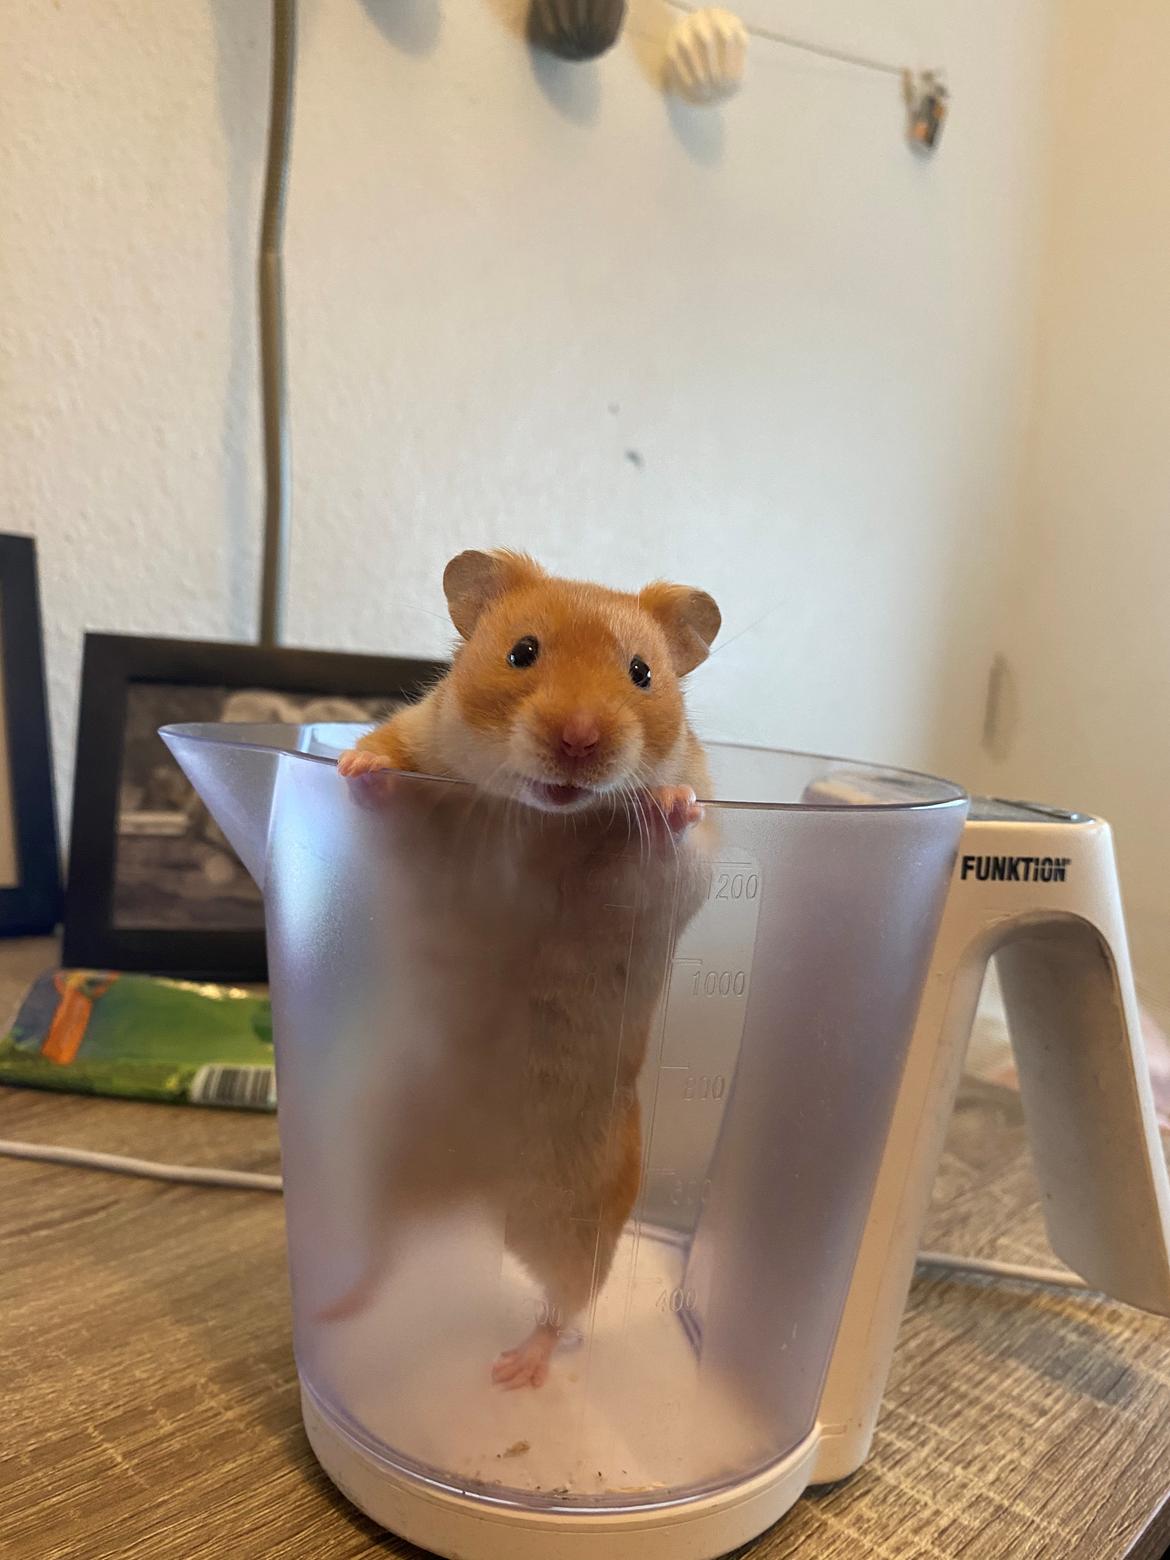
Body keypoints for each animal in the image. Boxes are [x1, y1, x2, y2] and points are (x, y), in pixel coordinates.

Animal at [331, 549, 720, 1389]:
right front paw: (353, 764)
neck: (547, 818)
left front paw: (670, 802)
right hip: (391, 1164)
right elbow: (388, 764)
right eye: (522, 652)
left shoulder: (681, 876)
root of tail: (481, 1201)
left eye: (642, 672)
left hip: (578, 1224)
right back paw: (339, 1310)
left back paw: (514, 1370)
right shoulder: (424, 750)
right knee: (381, 1254)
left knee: (563, 1307)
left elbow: (671, 841)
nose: (579, 739)